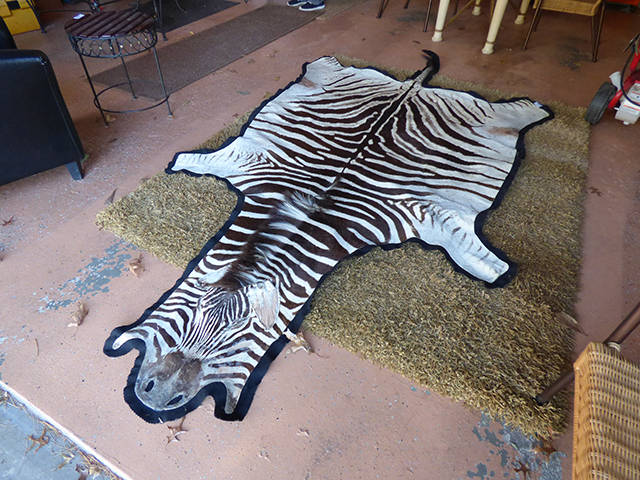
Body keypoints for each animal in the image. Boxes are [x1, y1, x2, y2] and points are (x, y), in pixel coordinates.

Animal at [104, 53, 552, 423]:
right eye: (192, 312)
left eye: (243, 333)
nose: (156, 398)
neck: (302, 217)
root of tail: (411, 87)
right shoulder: (248, 161)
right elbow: (197, 159)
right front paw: (182, 163)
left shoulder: (427, 214)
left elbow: (480, 259)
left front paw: (498, 272)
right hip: (339, 81)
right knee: (325, 68)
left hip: (484, 113)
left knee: (507, 112)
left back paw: (534, 109)